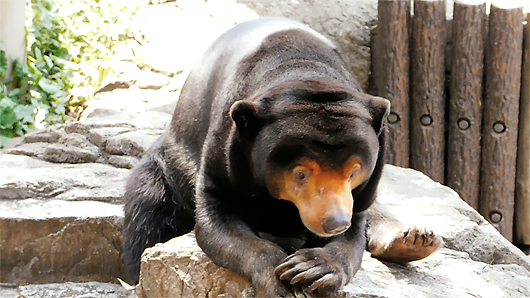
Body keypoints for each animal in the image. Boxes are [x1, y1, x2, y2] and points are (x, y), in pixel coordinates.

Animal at [121, 16, 440, 298]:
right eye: (300, 173)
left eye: (353, 172)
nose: (334, 223)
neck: (304, 71)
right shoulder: (227, 152)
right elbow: (219, 218)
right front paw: (283, 281)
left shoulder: (359, 194)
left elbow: (354, 233)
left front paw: (313, 266)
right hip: (168, 166)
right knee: (149, 209)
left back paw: (414, 239)